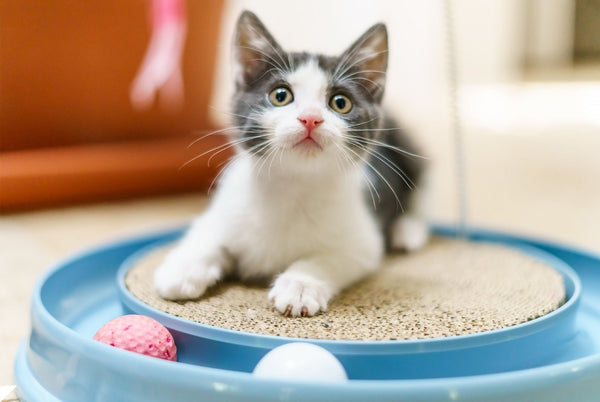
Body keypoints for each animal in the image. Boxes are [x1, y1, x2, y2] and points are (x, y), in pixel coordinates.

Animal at [154, 10, 426, 318]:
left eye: (340, 102)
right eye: (280, 95)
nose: (310, 118)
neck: (293, 185)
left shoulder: (364, 241)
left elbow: (329, 257)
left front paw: (300, 285)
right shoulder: (225, 210)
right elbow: (207, 235)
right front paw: (181, 269)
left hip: (409, 150)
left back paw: (407, 231)